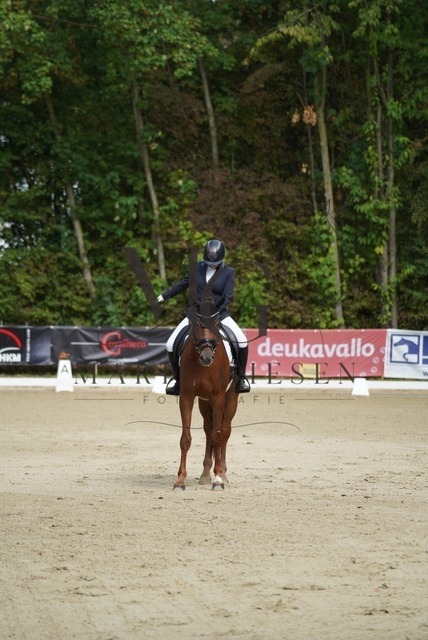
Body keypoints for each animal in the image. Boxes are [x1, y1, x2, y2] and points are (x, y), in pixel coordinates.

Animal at [173, 305, 239, 491]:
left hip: (231, 398)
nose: (207, 358)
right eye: (196, 327)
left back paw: (223, 474)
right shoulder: (187, 397)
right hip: (204, 402)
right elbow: (185, 439)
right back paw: (205, 474)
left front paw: (218, 480)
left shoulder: (218, 398)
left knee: (224, 431)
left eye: (216, 326)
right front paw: (180, 480)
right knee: (209, 430)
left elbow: (218, 437)